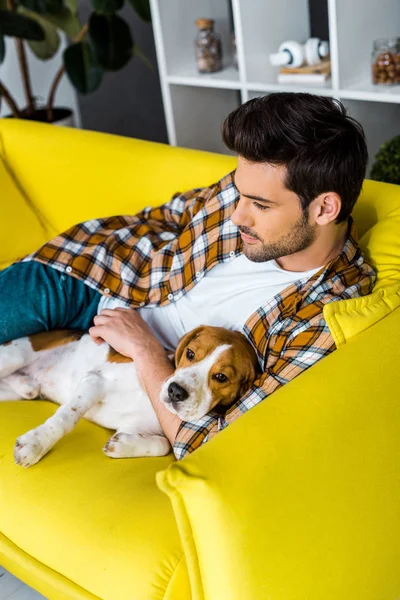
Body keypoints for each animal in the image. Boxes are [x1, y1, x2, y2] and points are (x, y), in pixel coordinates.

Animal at [0, 324, 260, 468]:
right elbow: (65, 420)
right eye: (190, 353)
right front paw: (35, 444)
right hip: (14, 357)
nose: (175, 391)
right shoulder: (95, 381)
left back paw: (27, 385)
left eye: (221, 377)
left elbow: (163, 445)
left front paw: (122, 445)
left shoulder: (134, 425)